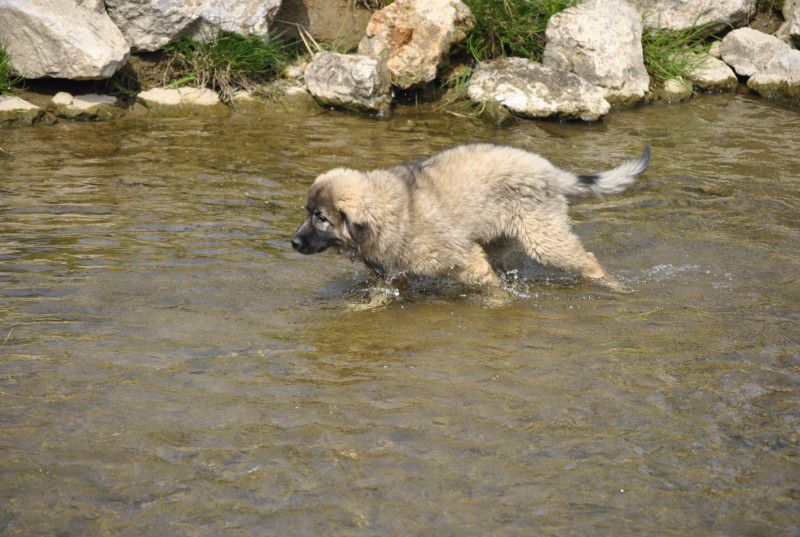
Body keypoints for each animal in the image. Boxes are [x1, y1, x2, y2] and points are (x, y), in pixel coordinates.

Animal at [294, 142, 648, 300]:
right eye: (307, 212)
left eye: (321, 218)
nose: (294, 242)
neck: (394, 211)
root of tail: (550, 171)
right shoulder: (392, 276)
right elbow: (378, 299)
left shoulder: (465, 259)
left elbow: (491, 288)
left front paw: (501, 302)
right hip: (501, 240)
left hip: (544, 240)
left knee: (587, 258)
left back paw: (612, 284)